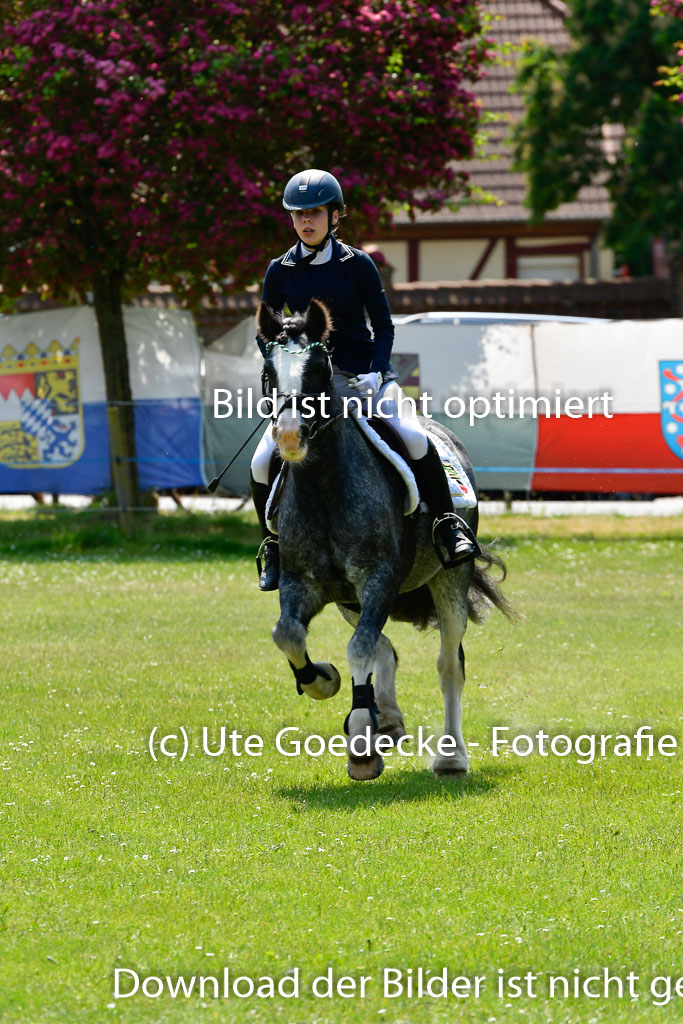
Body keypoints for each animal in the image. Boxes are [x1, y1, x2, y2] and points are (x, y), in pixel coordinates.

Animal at [258, 299, 511, 778]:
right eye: (268, 371)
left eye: (318, 370)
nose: (289, 436)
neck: (324, 487)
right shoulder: (301, 583)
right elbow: (288, 634)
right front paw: (323, 681)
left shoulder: (378, 578)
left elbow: (359, 649)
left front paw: (361, 744)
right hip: (348, 599)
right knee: (384, 647)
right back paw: (388, 720)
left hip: (448, 579)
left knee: (448, 664)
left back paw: (450, 756)